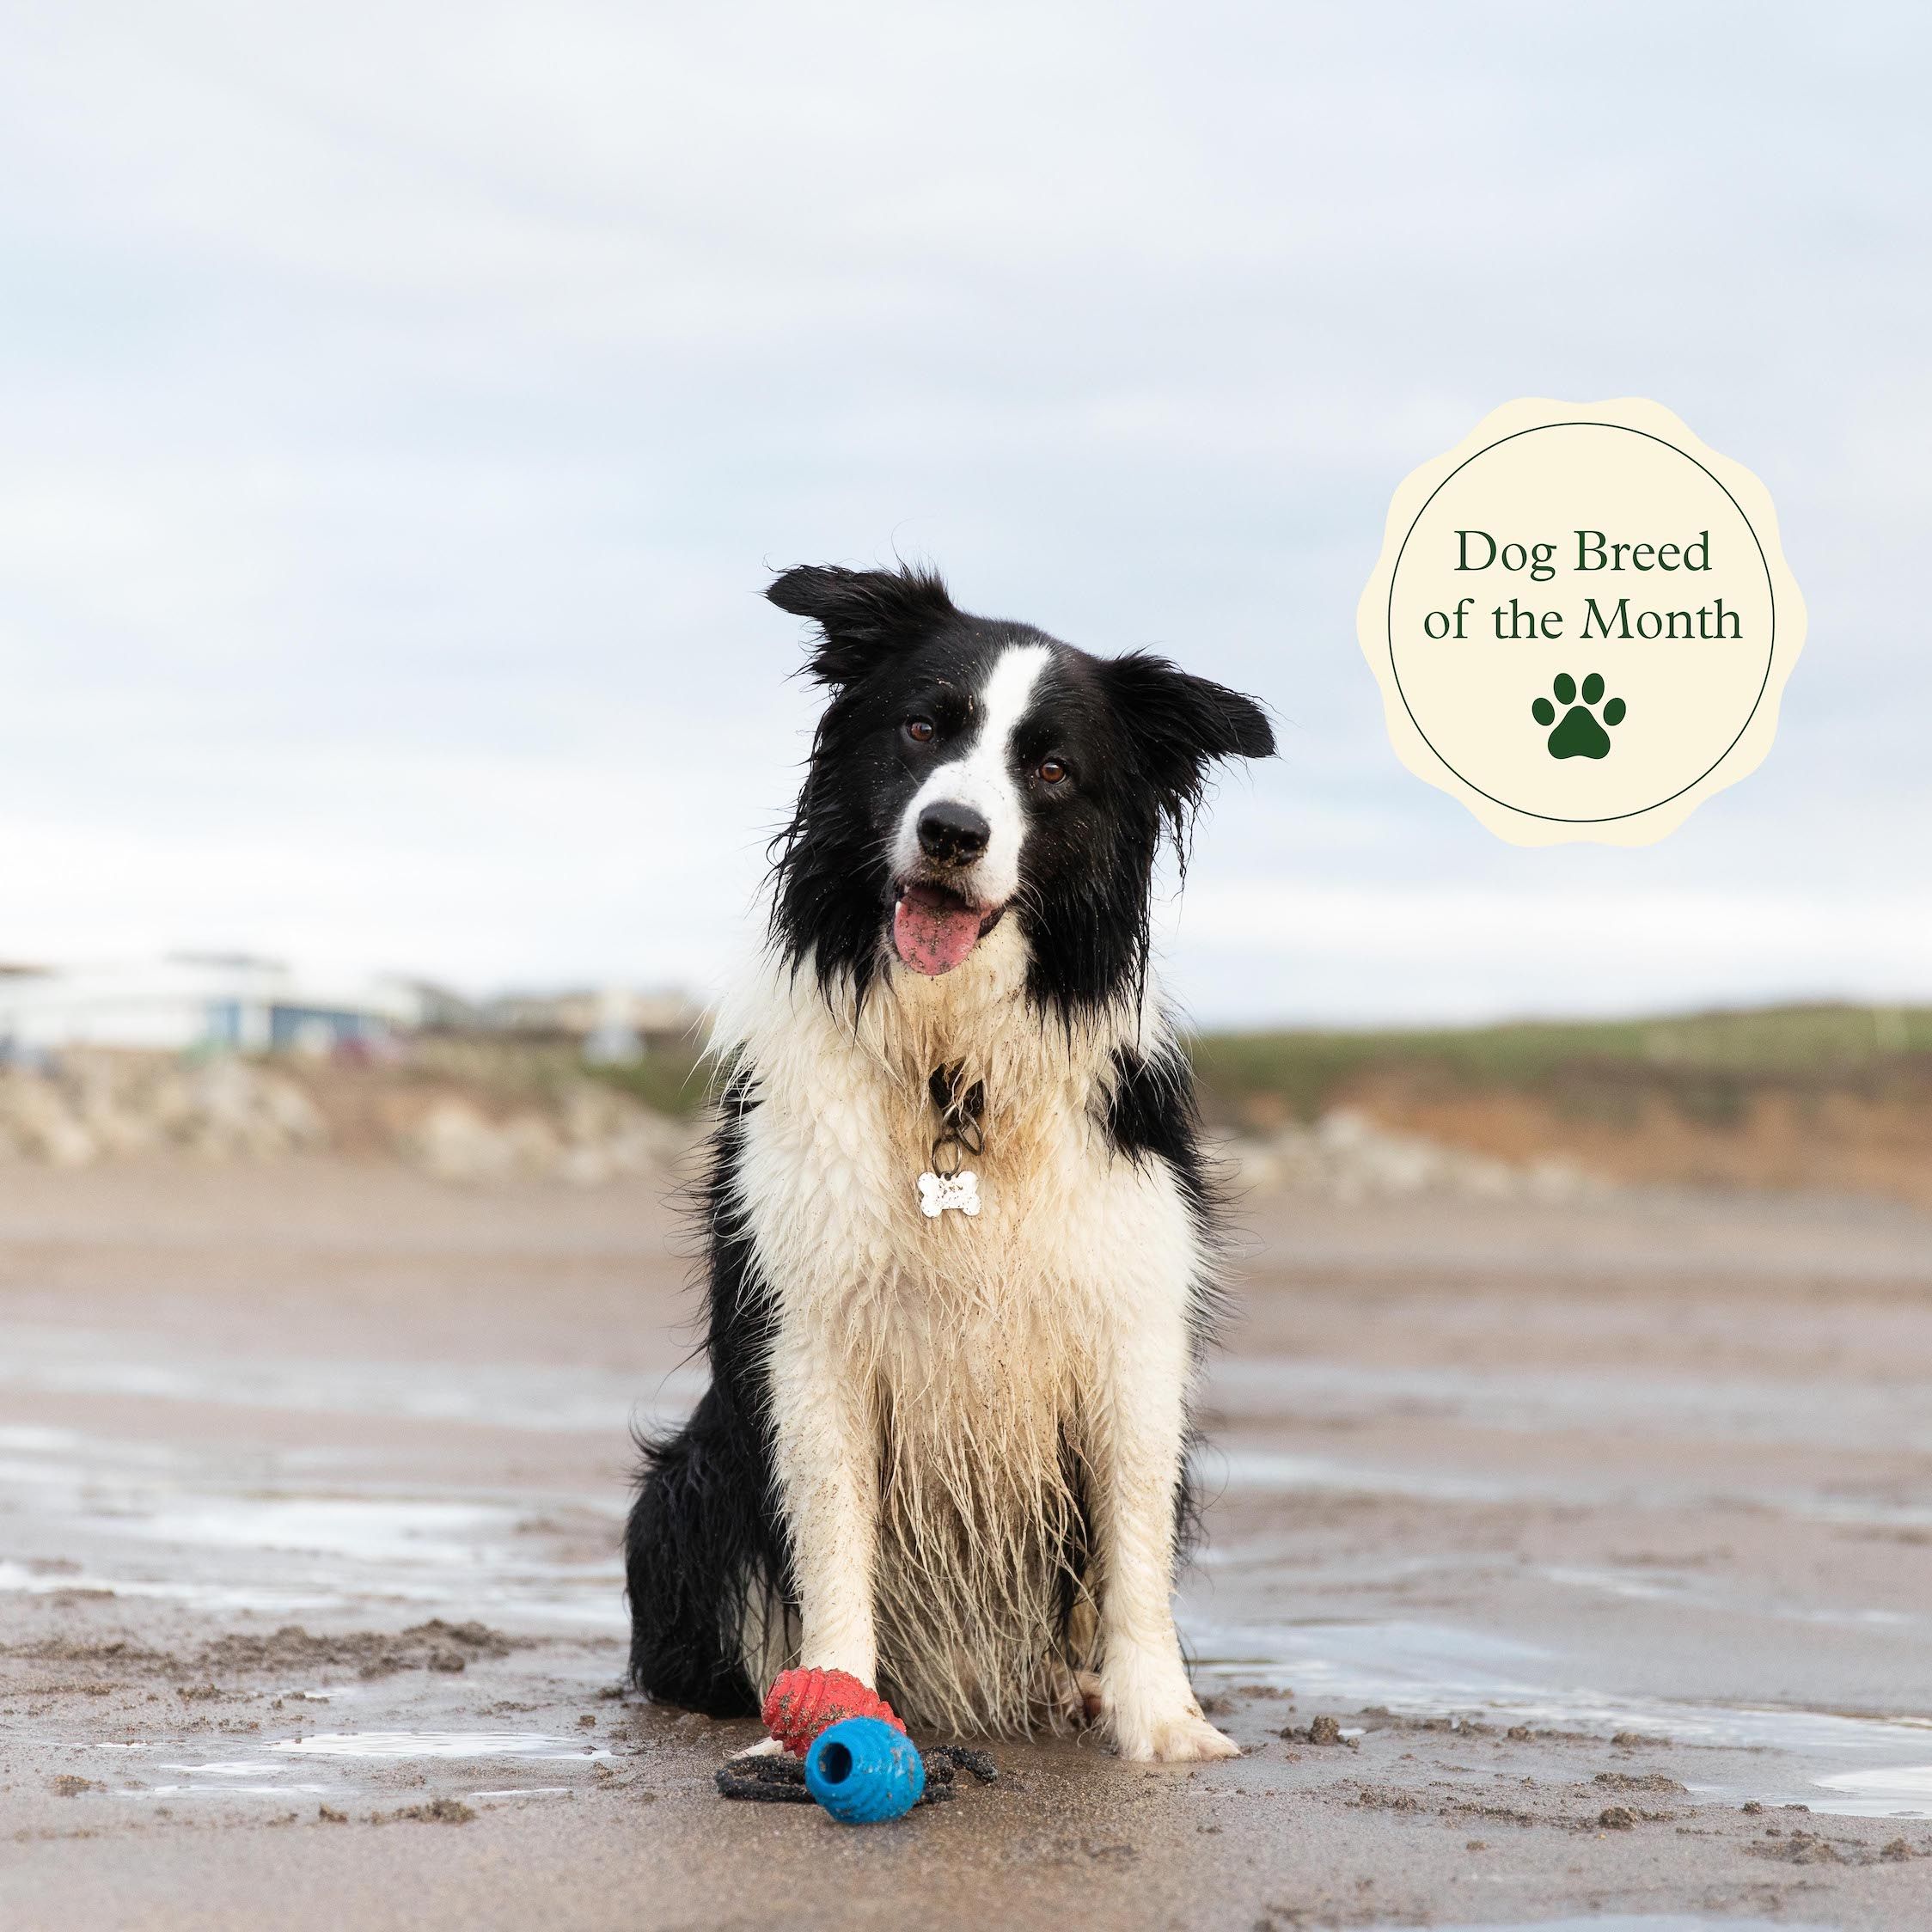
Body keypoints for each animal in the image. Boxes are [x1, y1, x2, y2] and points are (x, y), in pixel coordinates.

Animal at [626, 564, 1275, 1762]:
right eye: (923, 727)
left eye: (1052, 770)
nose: (953, 831)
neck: (951, 1075)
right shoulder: (812, 1331)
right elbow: (832, 1537)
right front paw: (831, 1702)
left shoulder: (1131, 1324)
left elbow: (1134, 1546)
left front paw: (1161, 1720)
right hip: (684, 1484)